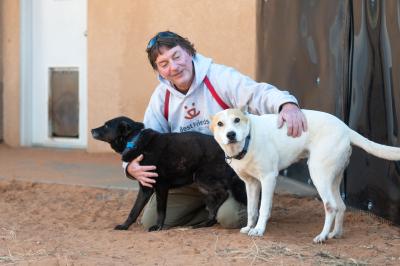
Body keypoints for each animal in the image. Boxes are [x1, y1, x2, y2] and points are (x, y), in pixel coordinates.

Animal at [92, 116, 245, 231]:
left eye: (106, 126)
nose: (92, 130)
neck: (134, 140)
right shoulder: (145, 187)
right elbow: (134, 210)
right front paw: (124, 226)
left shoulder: (161, 186)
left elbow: (160, 210)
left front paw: (158, 227)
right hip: (204, 187)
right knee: (214, 202)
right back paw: (206, 223)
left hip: (202, 177)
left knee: (223, 193)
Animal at [209, 108, 400, 243]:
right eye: (220, 124)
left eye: (237, 120)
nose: (231, 134)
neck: (248, 139)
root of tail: (346, 129)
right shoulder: (252, 184)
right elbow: (251, 209)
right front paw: (249, 227)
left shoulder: (269, 179)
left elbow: (262, 208)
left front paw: (259, 230)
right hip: (332, 178)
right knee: (341, 206)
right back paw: (334, 234)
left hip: (318, 174)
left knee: (331, 206)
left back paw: (322, 236)